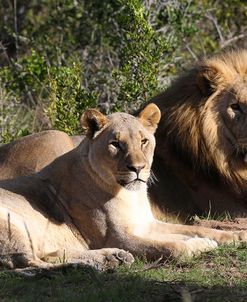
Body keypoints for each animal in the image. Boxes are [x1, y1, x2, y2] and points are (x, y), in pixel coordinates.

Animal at [0, 104, 247, 268]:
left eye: (143, 141)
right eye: (115, 144)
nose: (138, 168)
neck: (130, 195)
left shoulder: (148, 224)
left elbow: (198, 229)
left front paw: (237, 236)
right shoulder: (118, 237)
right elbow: (171, 247)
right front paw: (198, 246)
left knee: (48, 255)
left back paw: (112, 258)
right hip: (12, 224)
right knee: (29, 262)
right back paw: (92, 266)